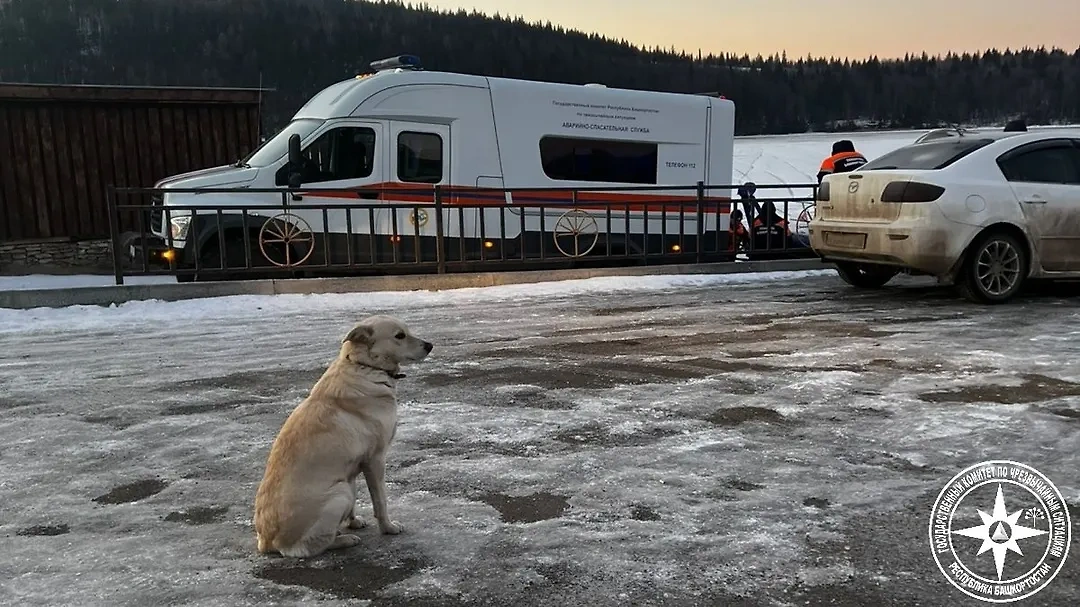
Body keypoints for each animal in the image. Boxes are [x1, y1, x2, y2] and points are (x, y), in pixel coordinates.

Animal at [252, 313, 434, 557]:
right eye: (399, 336)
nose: (430, 345)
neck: (364, 366)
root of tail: (267, 542)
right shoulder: (375, 460)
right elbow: (381, 501)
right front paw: (388, 527)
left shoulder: (352, 468)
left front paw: (353, 521)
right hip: (340, 493)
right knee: (308, 547)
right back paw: (344, 540)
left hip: (344, 486)